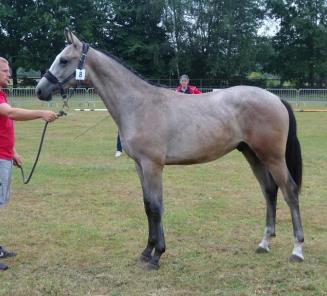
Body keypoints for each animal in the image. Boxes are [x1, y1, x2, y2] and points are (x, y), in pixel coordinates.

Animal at [36, 30, 304, 270]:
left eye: (63, 60)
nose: (40, 90)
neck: (139, 104)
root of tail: (275, 98)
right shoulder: (140, 166)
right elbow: (148, 206)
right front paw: (147, 251)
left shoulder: (153, 166)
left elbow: (156, 207)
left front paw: (157, 256)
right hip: (253, 154)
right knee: (269, 190)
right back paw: (264, 243)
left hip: (272, 156)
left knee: (289, 191)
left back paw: (297, 250)